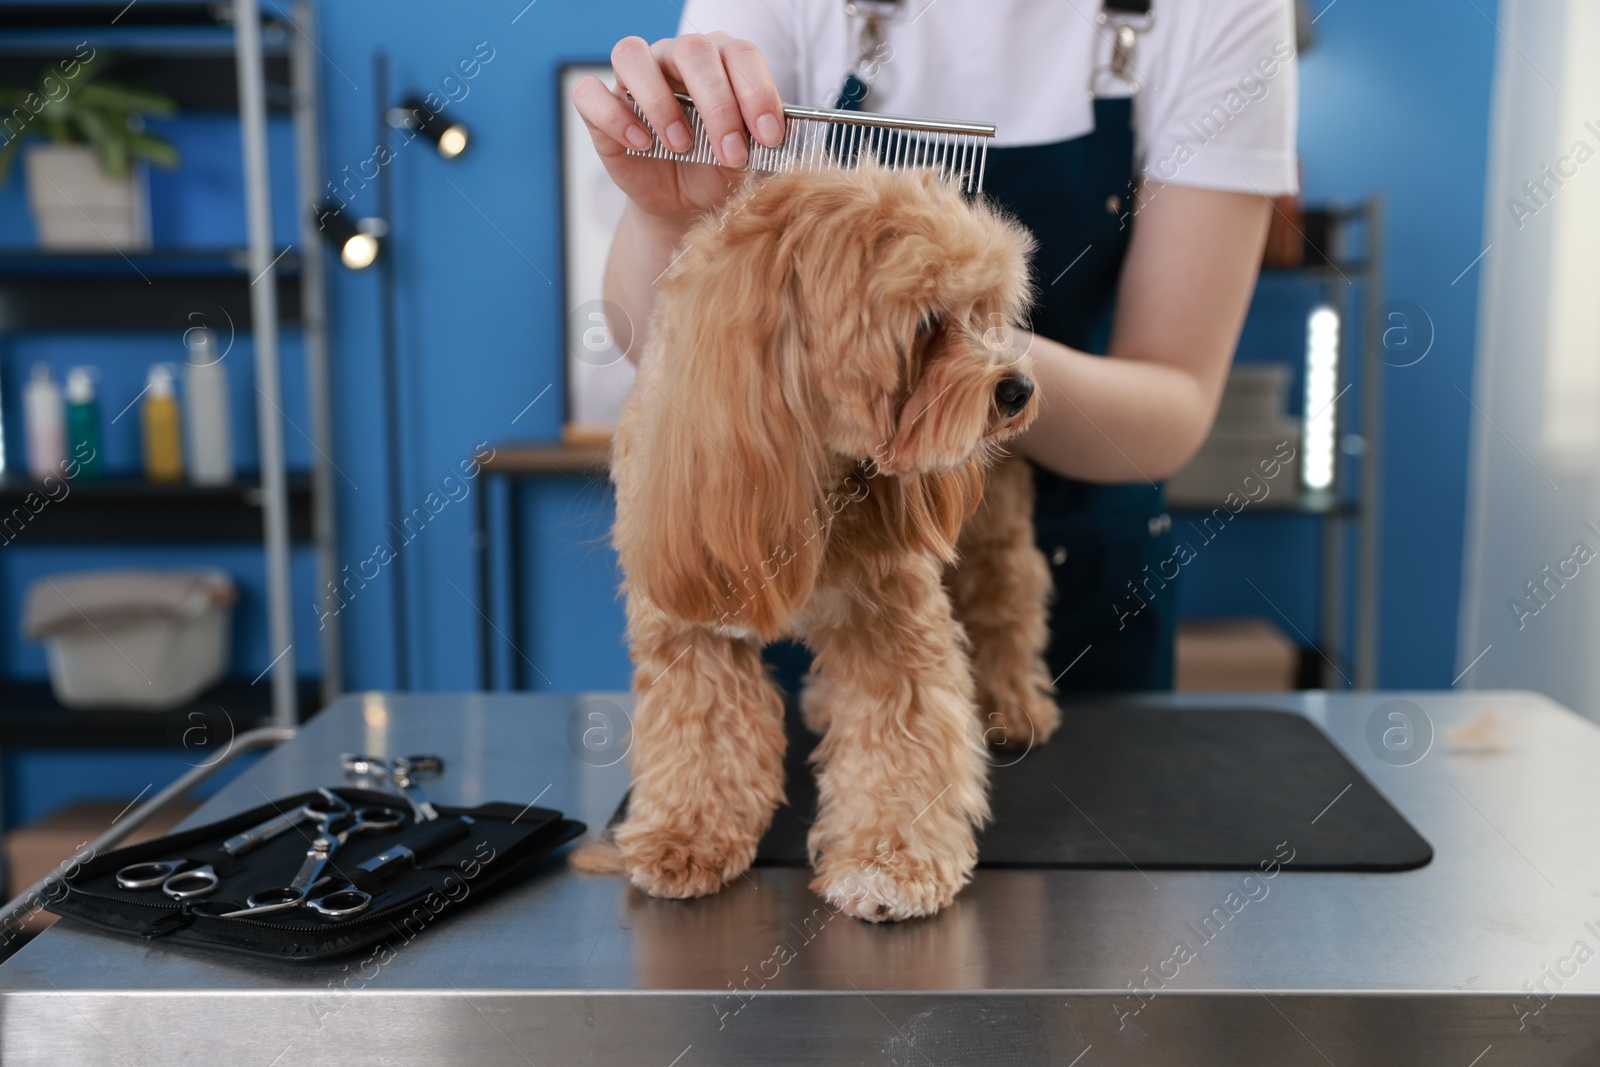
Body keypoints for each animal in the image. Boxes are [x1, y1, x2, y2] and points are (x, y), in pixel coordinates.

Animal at [595, 163, 1056, 921]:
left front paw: (889, 863)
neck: (810, 467)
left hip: (995, 529)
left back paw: (1013, 702)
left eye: (984, 314)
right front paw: (686, 836)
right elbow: (702, 732)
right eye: (927, 324)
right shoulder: (687, 624)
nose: (1017, 386)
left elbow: (904, 733)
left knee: (1007, 603)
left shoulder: (891, 616)